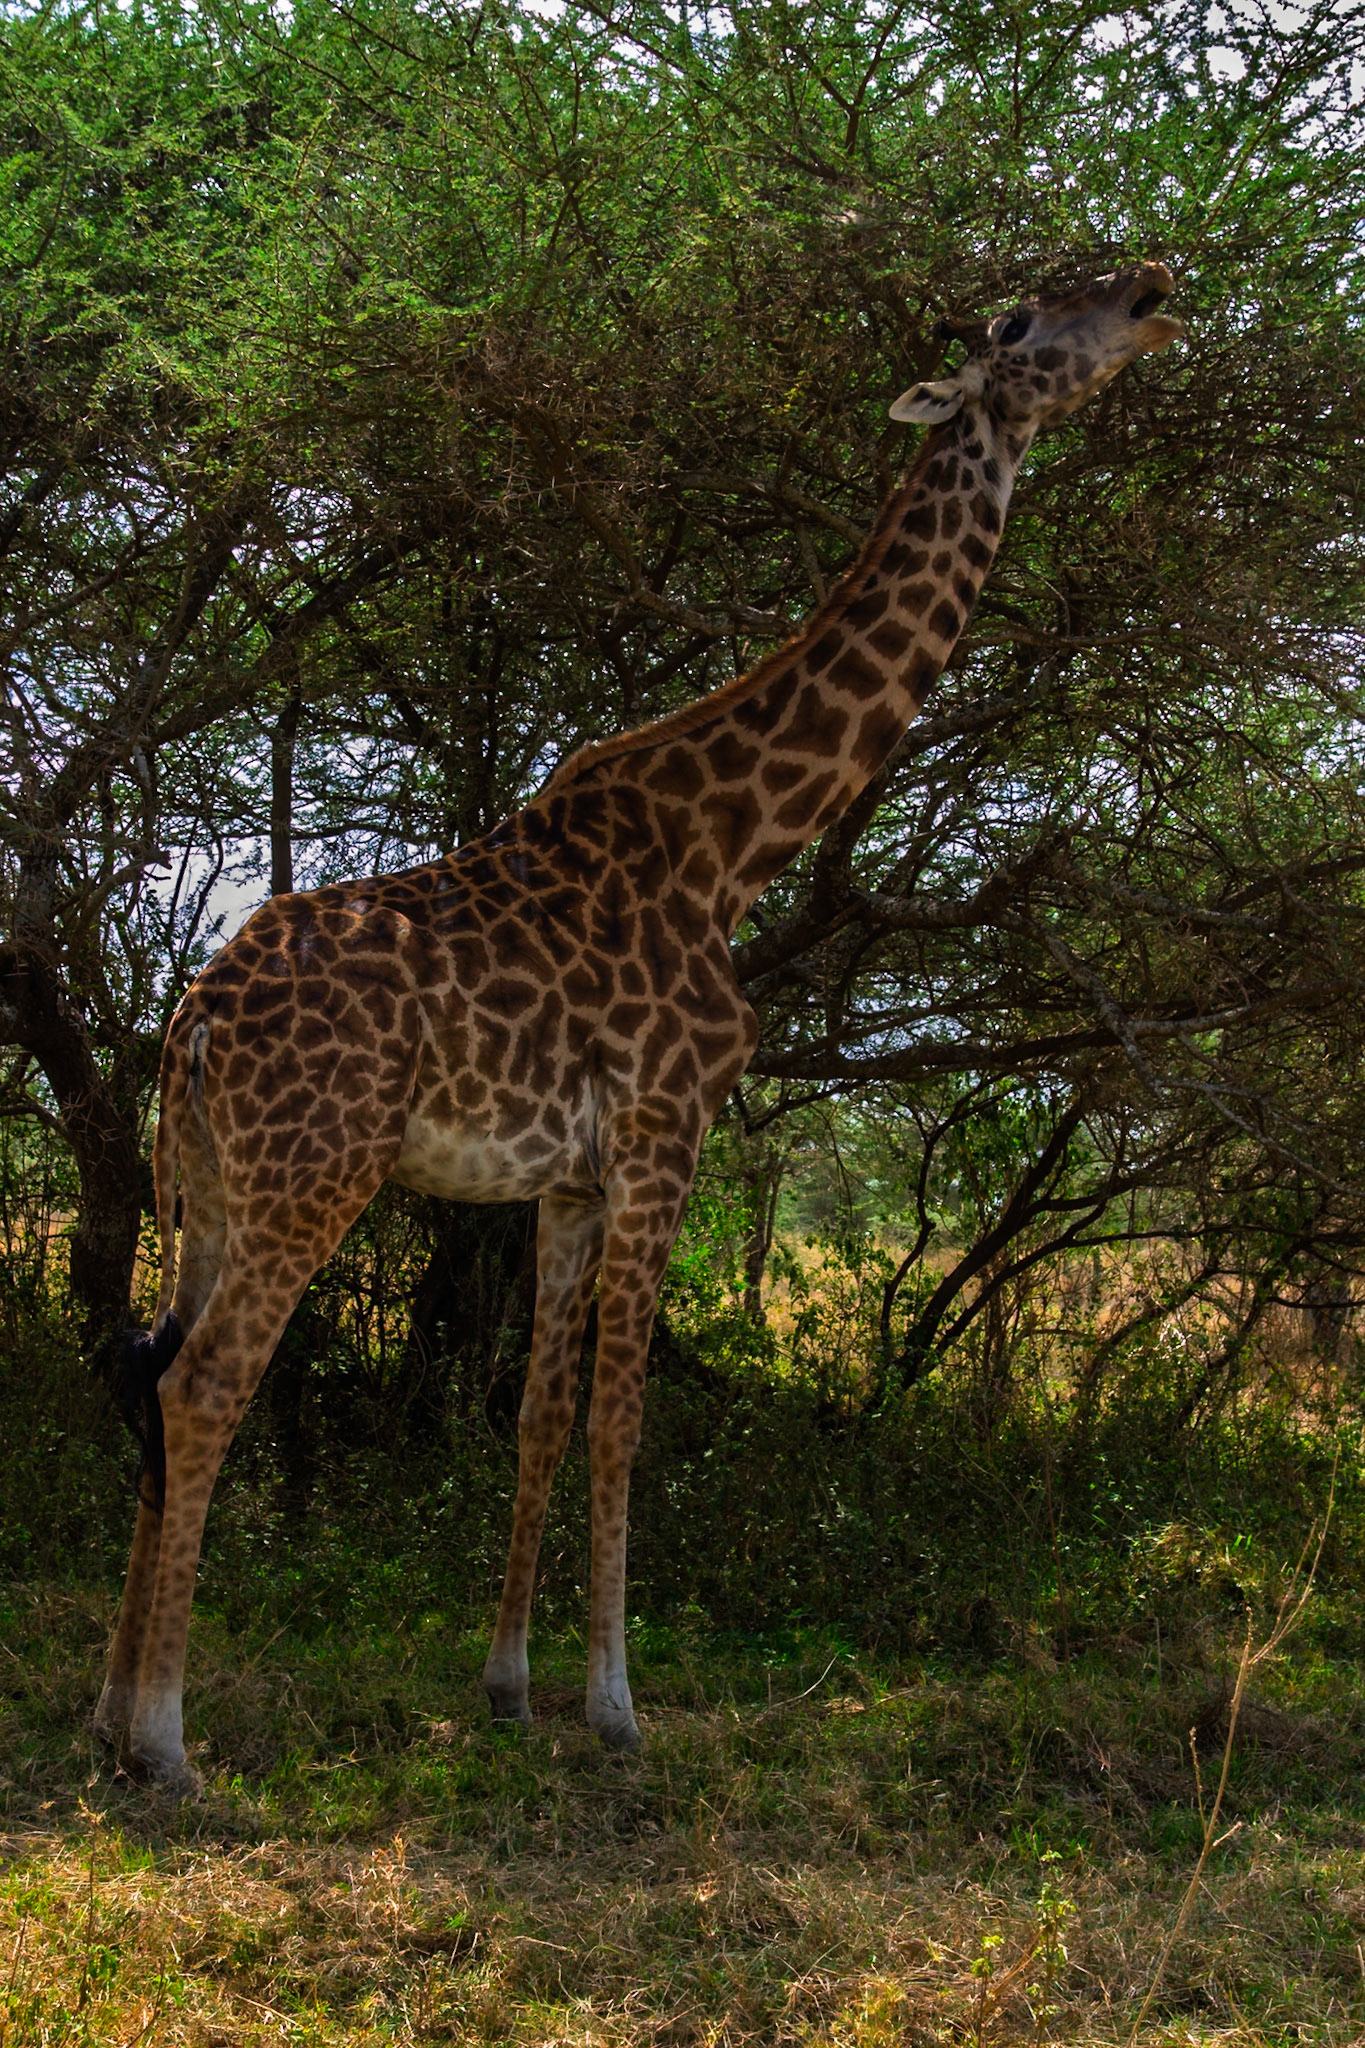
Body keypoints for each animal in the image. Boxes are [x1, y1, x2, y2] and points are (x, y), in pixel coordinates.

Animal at [96, 261, 1181, 1784]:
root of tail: (192, 1019)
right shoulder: (671, 1128)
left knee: (149, 1372)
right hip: (316, 1178)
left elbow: (540, 1417)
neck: (735, 845)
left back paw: (104, 1716)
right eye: (1023, 324)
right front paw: (616, 1706)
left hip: (213, 1190)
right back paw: (168, 1745)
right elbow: (621, 1421)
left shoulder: (567, 1180)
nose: (1153, 289)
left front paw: (506, 1686)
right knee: (201, 1391)